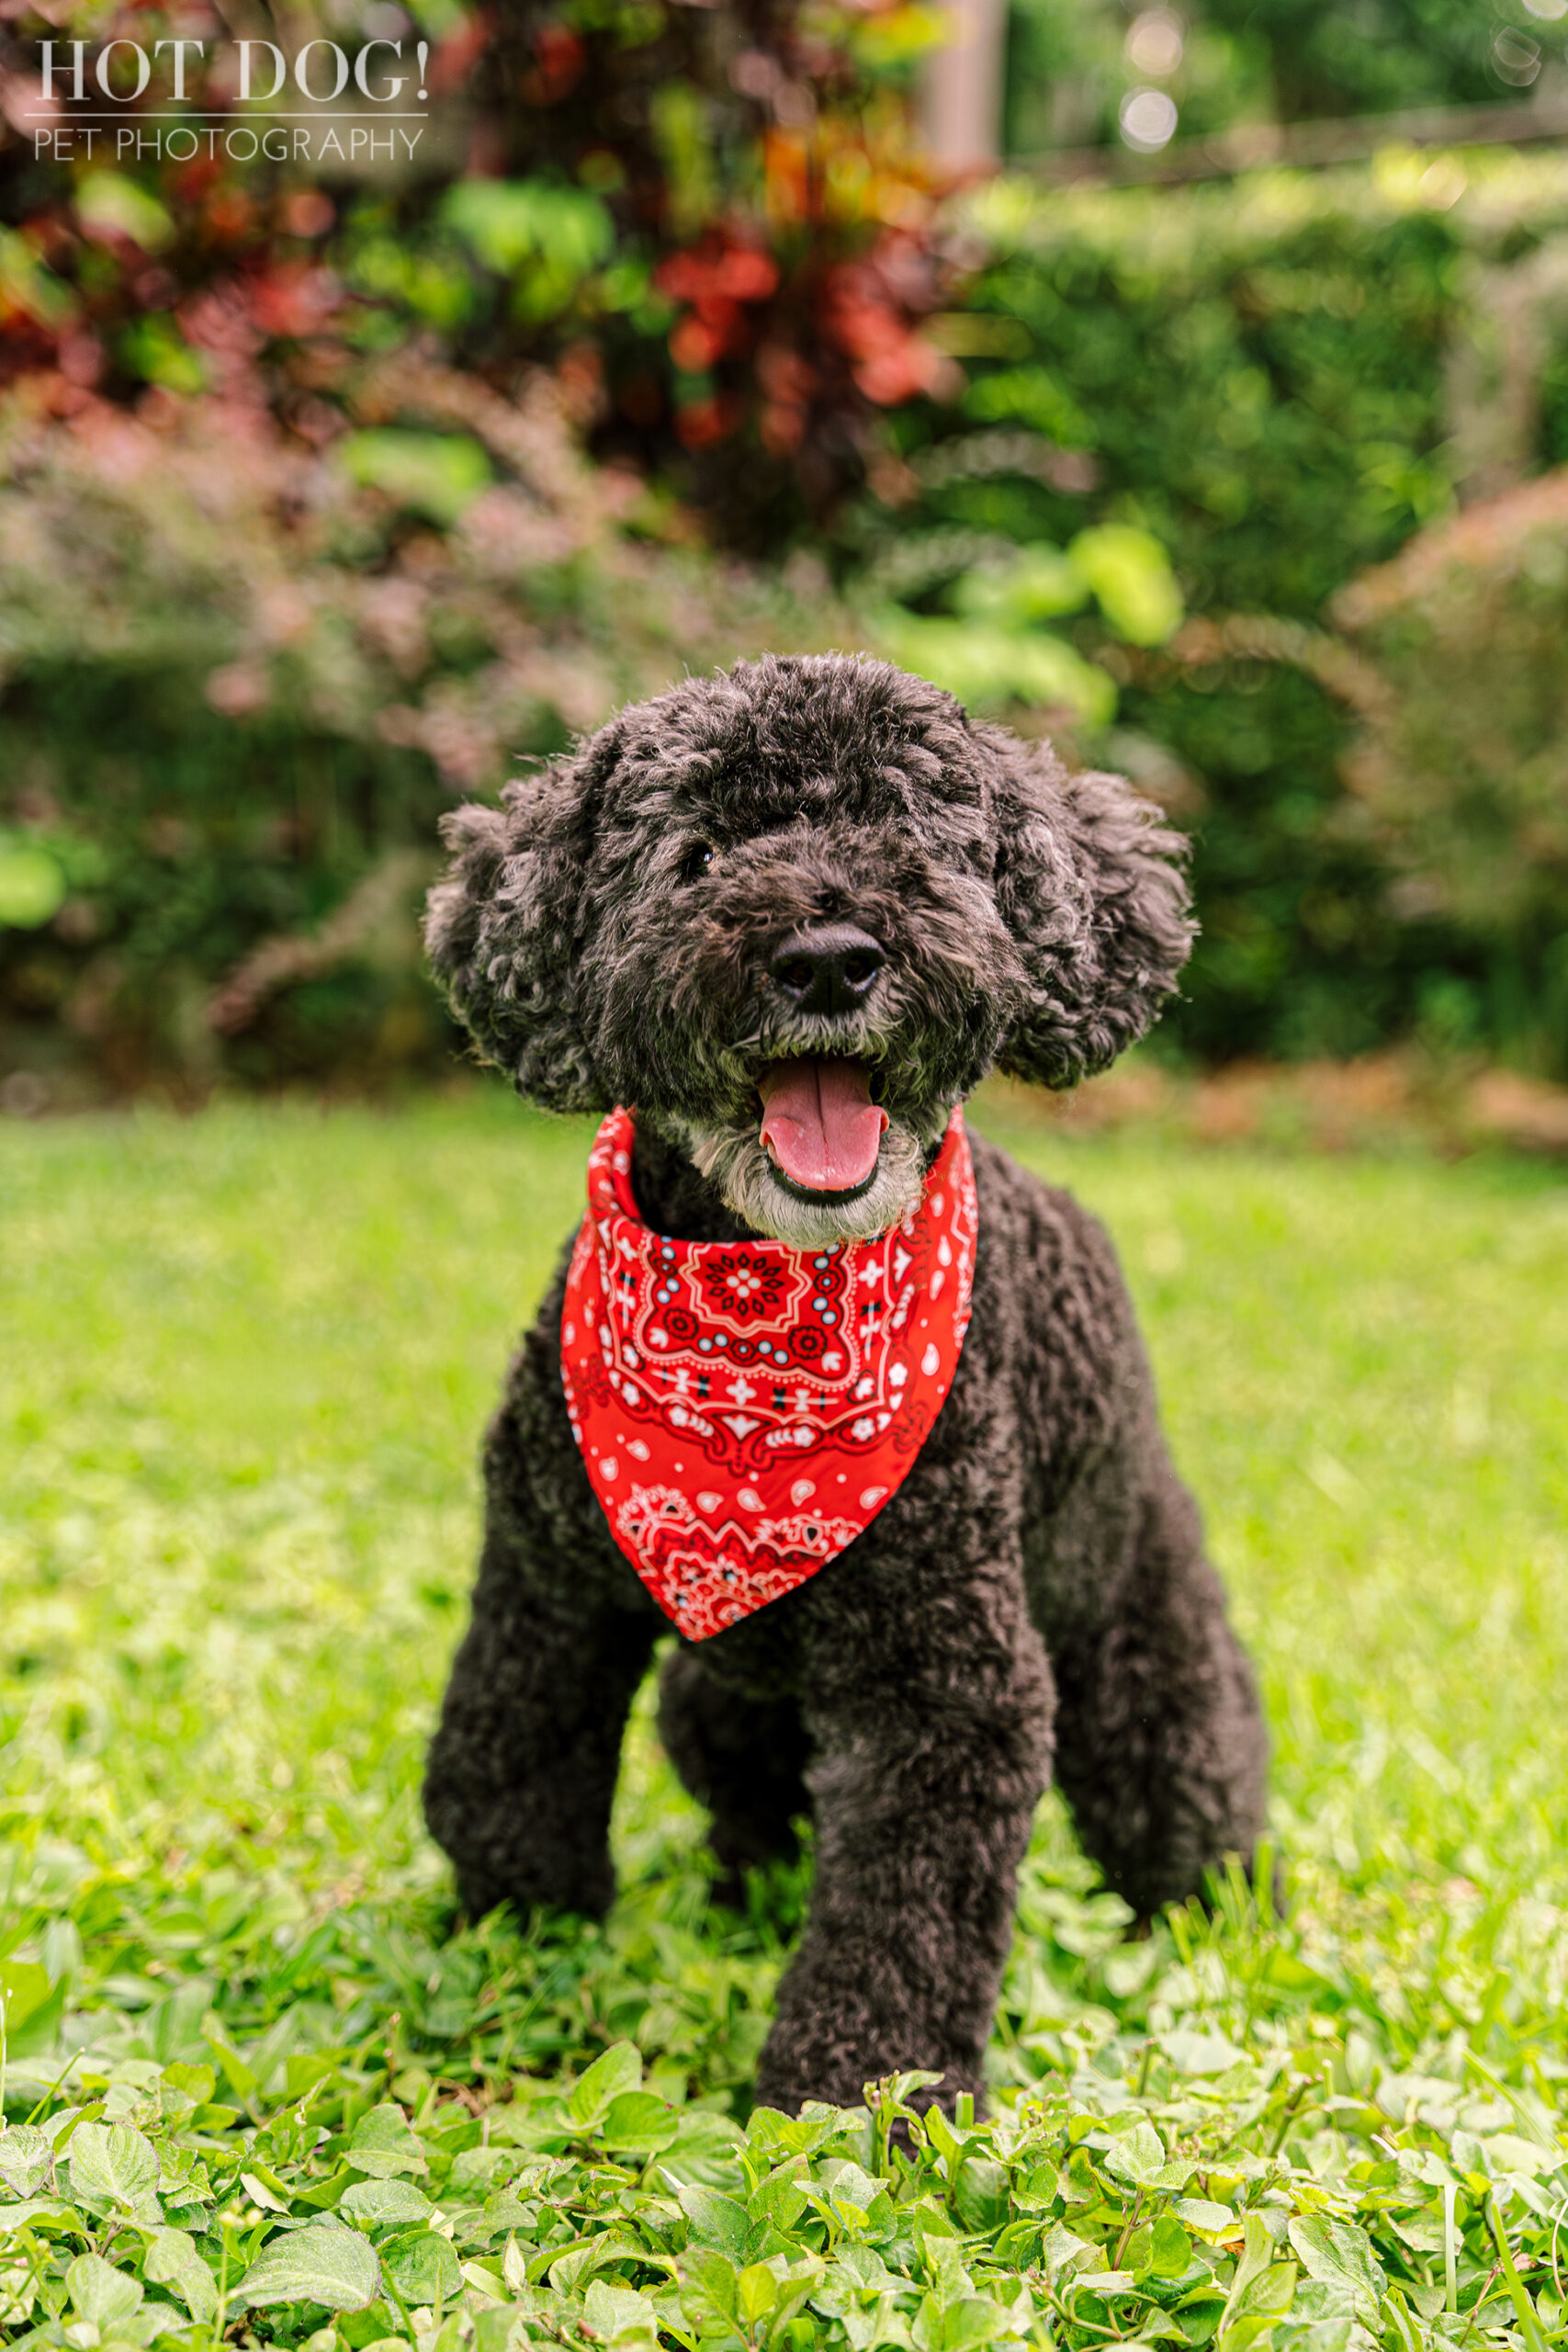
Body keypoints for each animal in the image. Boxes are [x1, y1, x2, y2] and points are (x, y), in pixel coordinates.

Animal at [423, 649, 1269, 2117]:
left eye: (917, 840)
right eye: (696, 854)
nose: (827, 957)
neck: (757, 1325)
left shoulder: (945, 1685)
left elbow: (902, 1922)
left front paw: (853, 2104)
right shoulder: (545, 1586)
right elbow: (502, 1762)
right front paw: (514, 1946)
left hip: (1142, 1634)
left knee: (1188, 1786)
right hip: (714, 1712)